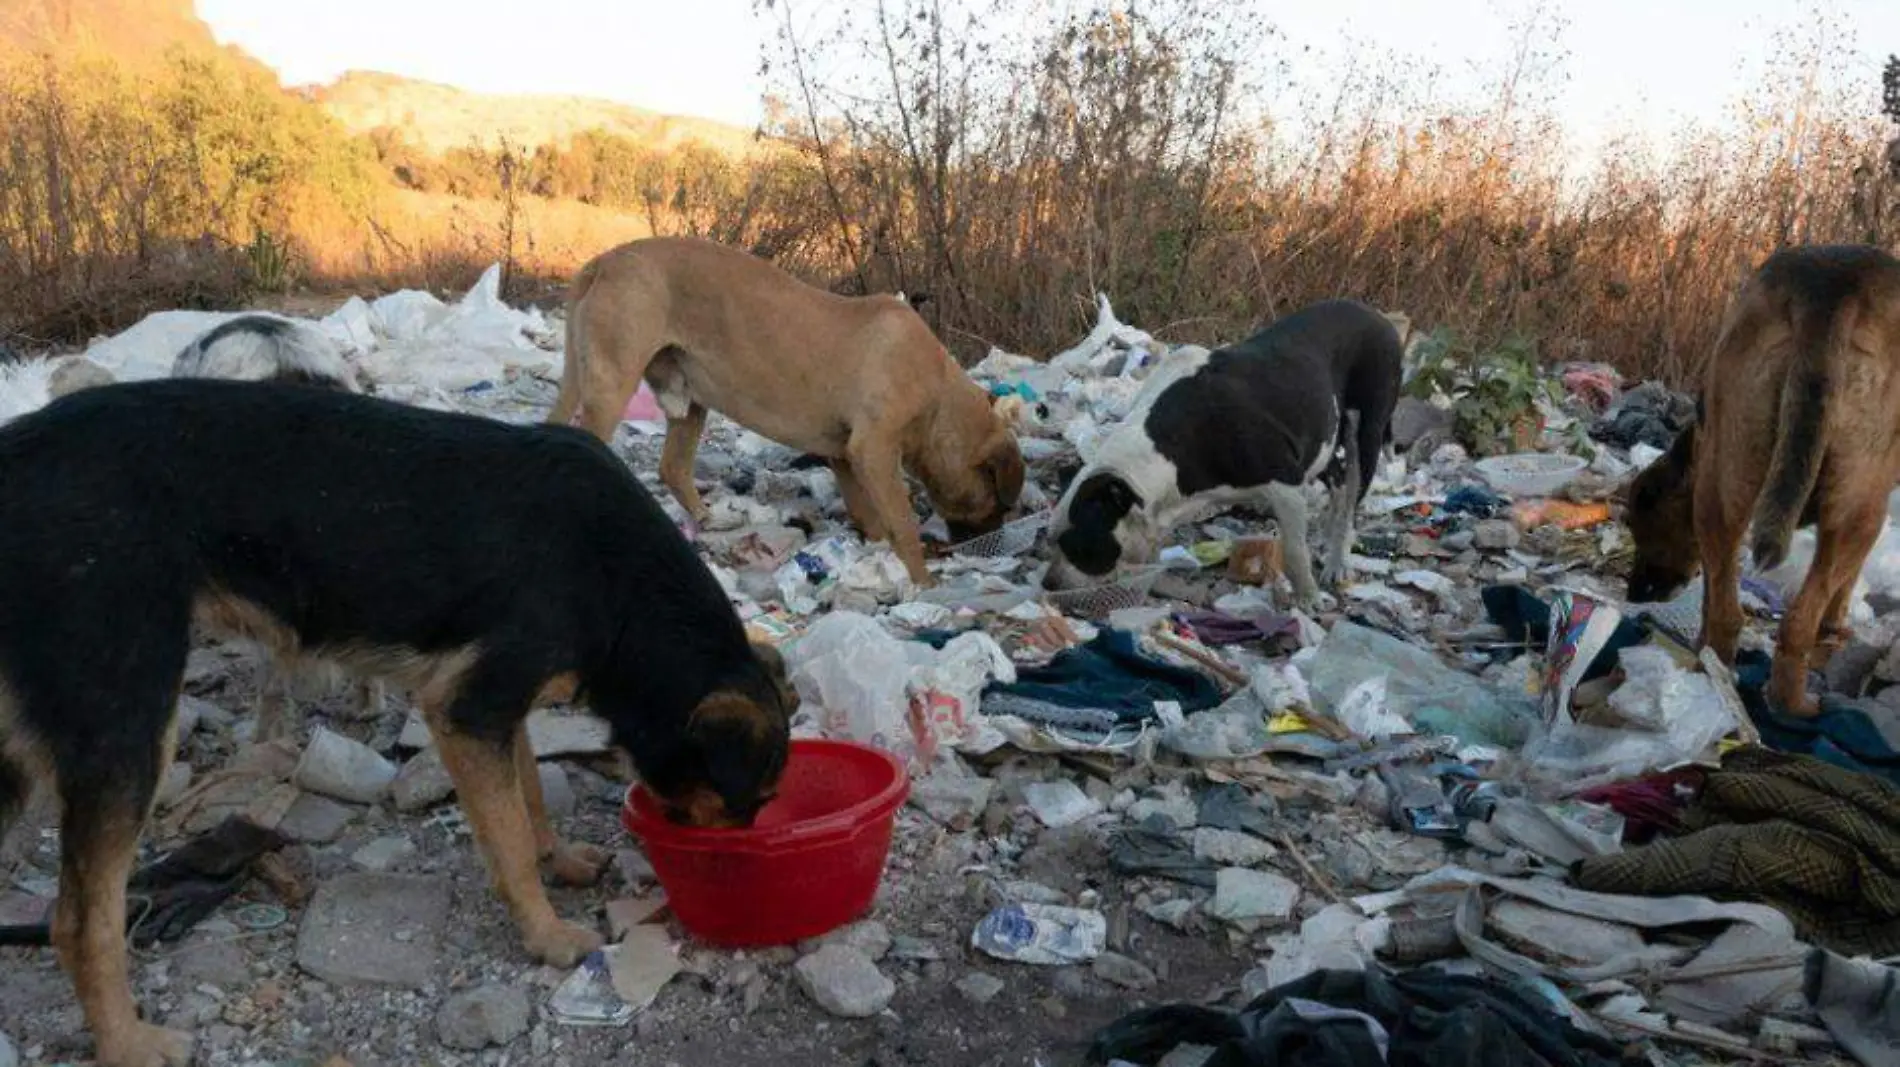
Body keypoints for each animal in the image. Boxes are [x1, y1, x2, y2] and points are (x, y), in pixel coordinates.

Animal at [0, 377, 786, 1055]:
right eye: (751, 800)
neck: (622, 584)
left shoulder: (494, 709)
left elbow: (528, 800)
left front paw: (558, 859)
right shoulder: (468, 709)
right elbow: (507, 836)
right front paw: (546, 934)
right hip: (127, 723)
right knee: (79, 919)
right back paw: (128, 1043)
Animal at [551, 236, 1026, 584]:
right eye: (998, 505)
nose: (996, 549)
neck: (940, 398)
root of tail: (605, 260)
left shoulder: (845, 455)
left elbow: (868, 513)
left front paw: (875, 553)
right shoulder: (873, 452)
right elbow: (902, 524)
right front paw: (920, 580)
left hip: (687, 397)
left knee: (671, 466)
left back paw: (708, 518)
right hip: (612, 385)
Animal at [1048, 299, 1406, 607]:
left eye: (1081, 547)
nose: (1048, 583)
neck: (1162, 457)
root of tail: (1377, 315)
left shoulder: (1285, 483)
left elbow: (1293, 550)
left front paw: (1308, 599)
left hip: (1368, 424)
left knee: (1354, 492)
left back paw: (1337, 560)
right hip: (1322, 433)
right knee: (1338, 481)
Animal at [1618, 241, 1900, 713]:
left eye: (1641, 523)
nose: (1634, 593)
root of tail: (1829, 287)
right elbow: (1842, 590)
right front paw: (1834, 635)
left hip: (1723, 485)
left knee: (1726, 615)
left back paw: (1713, 674)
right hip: (1862, 509)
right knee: (1798, 622)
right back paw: (1795, 706)